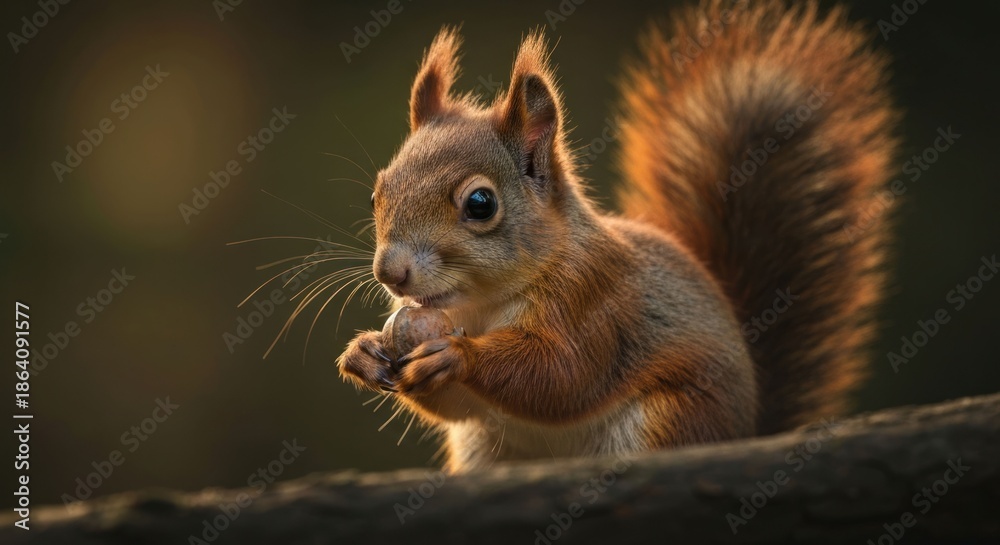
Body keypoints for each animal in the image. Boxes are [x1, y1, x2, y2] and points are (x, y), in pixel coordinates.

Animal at [337, 0, 897, 473]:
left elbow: (561, 375)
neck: (480, 305)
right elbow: (456, 406)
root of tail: (749, 430)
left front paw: (458, 355)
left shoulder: (594, 302)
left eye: (480, 204)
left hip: (669, 419)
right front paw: (362, 353)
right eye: (377, 194)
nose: (390, 272)